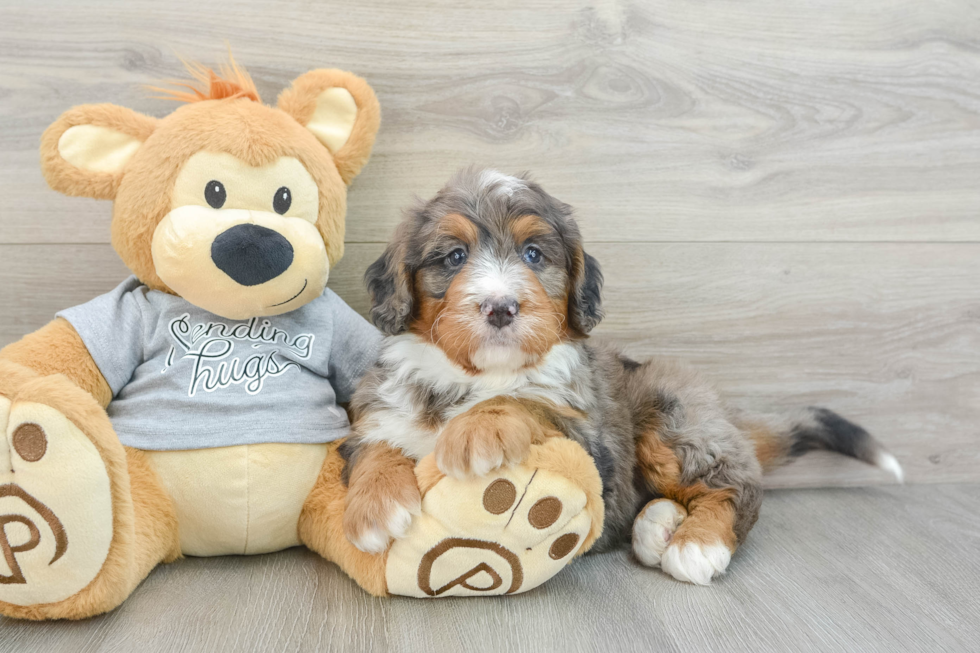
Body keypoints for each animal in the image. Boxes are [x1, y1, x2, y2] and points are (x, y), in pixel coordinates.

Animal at [338, 168, 904, 584]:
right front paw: (374, 506)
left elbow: (530, 400)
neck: (474, 377)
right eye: (454, 256)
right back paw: (657, 526)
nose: (500, 307)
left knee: (735, 482)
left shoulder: (592, 445)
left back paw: (697, 544)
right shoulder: (379, 408)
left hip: (670, 417)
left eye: (533, 254)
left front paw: (480, 427)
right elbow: (374, 442)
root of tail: (723, 412)